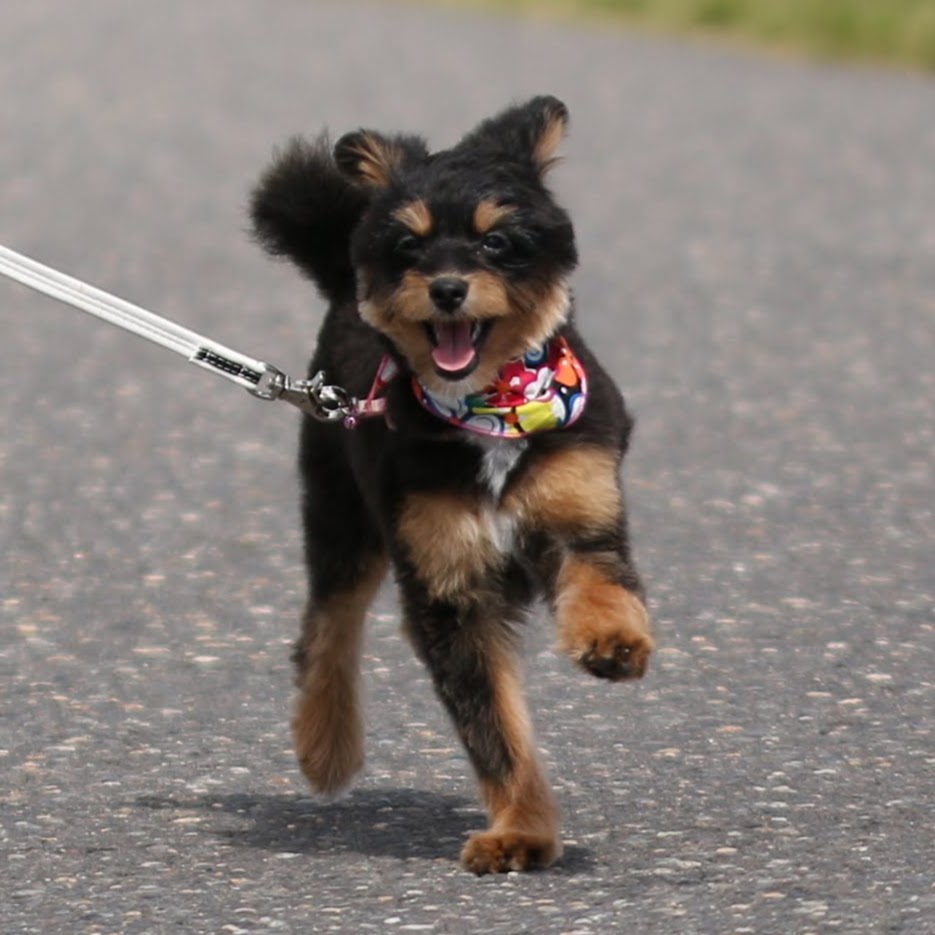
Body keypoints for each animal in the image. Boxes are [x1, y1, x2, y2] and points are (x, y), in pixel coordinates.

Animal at [252, 95, 656, 872]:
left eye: (496, 241)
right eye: (408, 247)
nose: (445, 288)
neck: (493, 406)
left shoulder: (581, 508)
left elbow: (602, 581)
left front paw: (612, 641)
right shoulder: (449, 584)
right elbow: (493, 726)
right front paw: (521, 831)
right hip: (340, 509)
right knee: (328, 628)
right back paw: (324, 745)